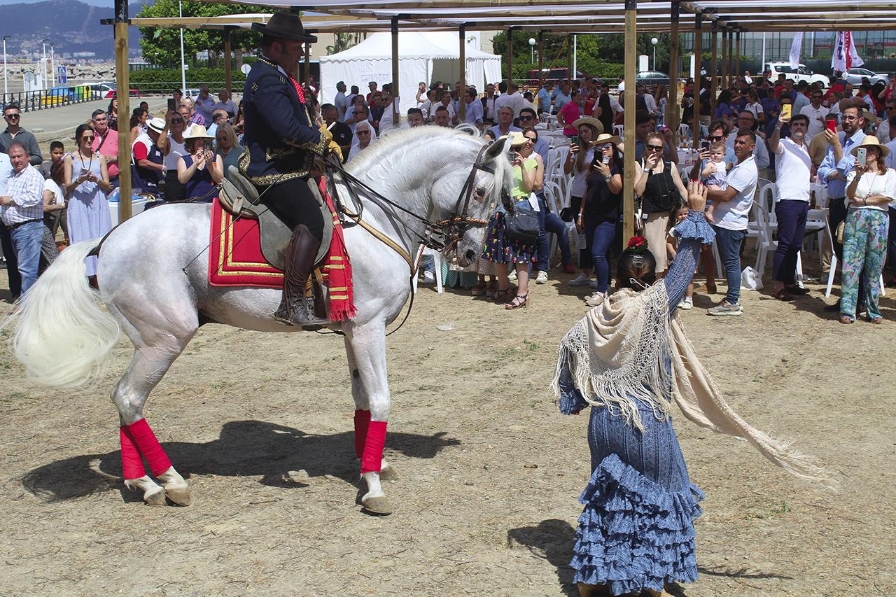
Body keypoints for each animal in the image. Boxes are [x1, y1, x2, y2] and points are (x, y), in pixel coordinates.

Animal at [7, 128, 516, 516]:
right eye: (483, 191)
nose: (471, 255)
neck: (374, 216)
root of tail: (107, 239)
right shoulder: (369, 328)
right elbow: (380, 399)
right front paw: (373, 486)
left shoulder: (352, 331)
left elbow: (361, 401)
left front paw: (369, 463)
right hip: (166, 338)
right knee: (130, 398)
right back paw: (169, 481)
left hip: (149, 340)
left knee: (124, 403)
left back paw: (143, 484)